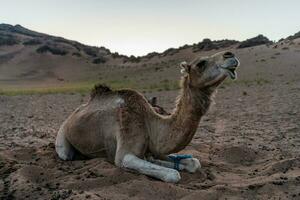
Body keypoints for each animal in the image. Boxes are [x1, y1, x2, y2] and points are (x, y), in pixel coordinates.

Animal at [55, 50, 239, 183]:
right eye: (201, 63)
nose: (230, 55)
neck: (150, 122)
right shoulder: (124, 152)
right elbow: (172, 174)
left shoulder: (152, 149)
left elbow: (194, 163)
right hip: (62, 139)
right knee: (66, 154)